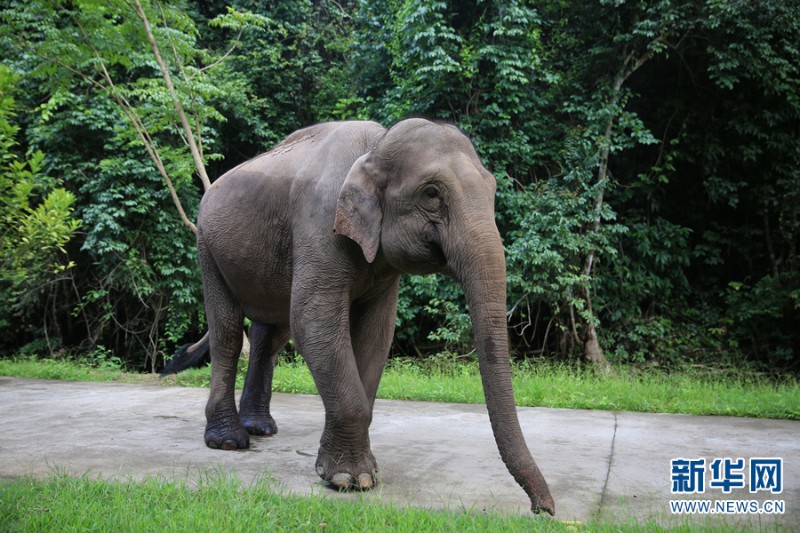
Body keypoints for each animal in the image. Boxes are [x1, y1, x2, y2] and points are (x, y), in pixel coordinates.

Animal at [188, 118, 552, 512]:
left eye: (492, 189)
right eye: (431, 193)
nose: (543, 509)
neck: (375, 147)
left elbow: (376, 334)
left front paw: (365, 472)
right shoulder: (320, 226)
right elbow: (312, 321)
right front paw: (350, 480)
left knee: (269, 336)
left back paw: (260, 428)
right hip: (207, 245)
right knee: (226, 331)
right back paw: (229, 441)